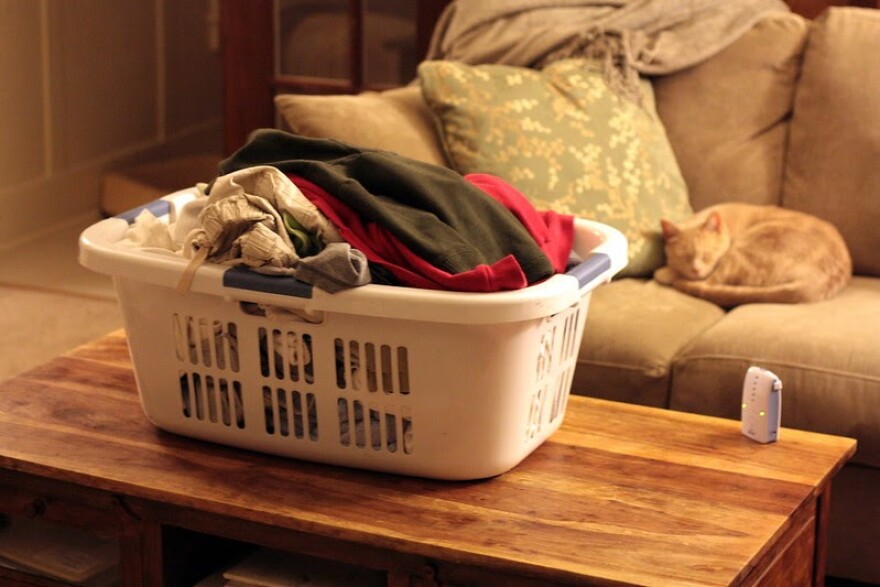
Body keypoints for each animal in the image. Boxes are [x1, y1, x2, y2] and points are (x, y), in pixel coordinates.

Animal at [652, 203, 852, 308]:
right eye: (684, 257)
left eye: (708, 255)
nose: (695, 269)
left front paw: (665, 272)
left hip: (740, 252)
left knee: (709, 283)